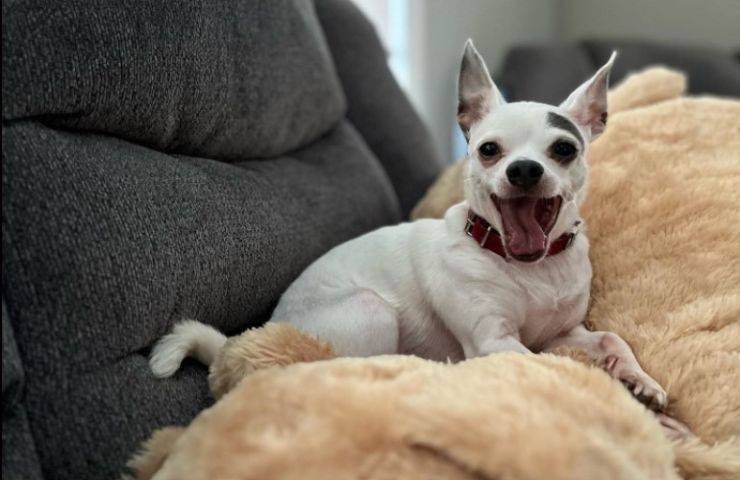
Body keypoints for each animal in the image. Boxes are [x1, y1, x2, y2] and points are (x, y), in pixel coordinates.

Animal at [150, 40, 664, 408]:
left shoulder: (562, 334)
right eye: (488, 150)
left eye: (564, 149)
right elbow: (548, 365)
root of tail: (255, 337)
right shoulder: (494, 342)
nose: (523, 170)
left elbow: (612, 338)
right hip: (370, 309)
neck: (530, 268)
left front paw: (639, 378)